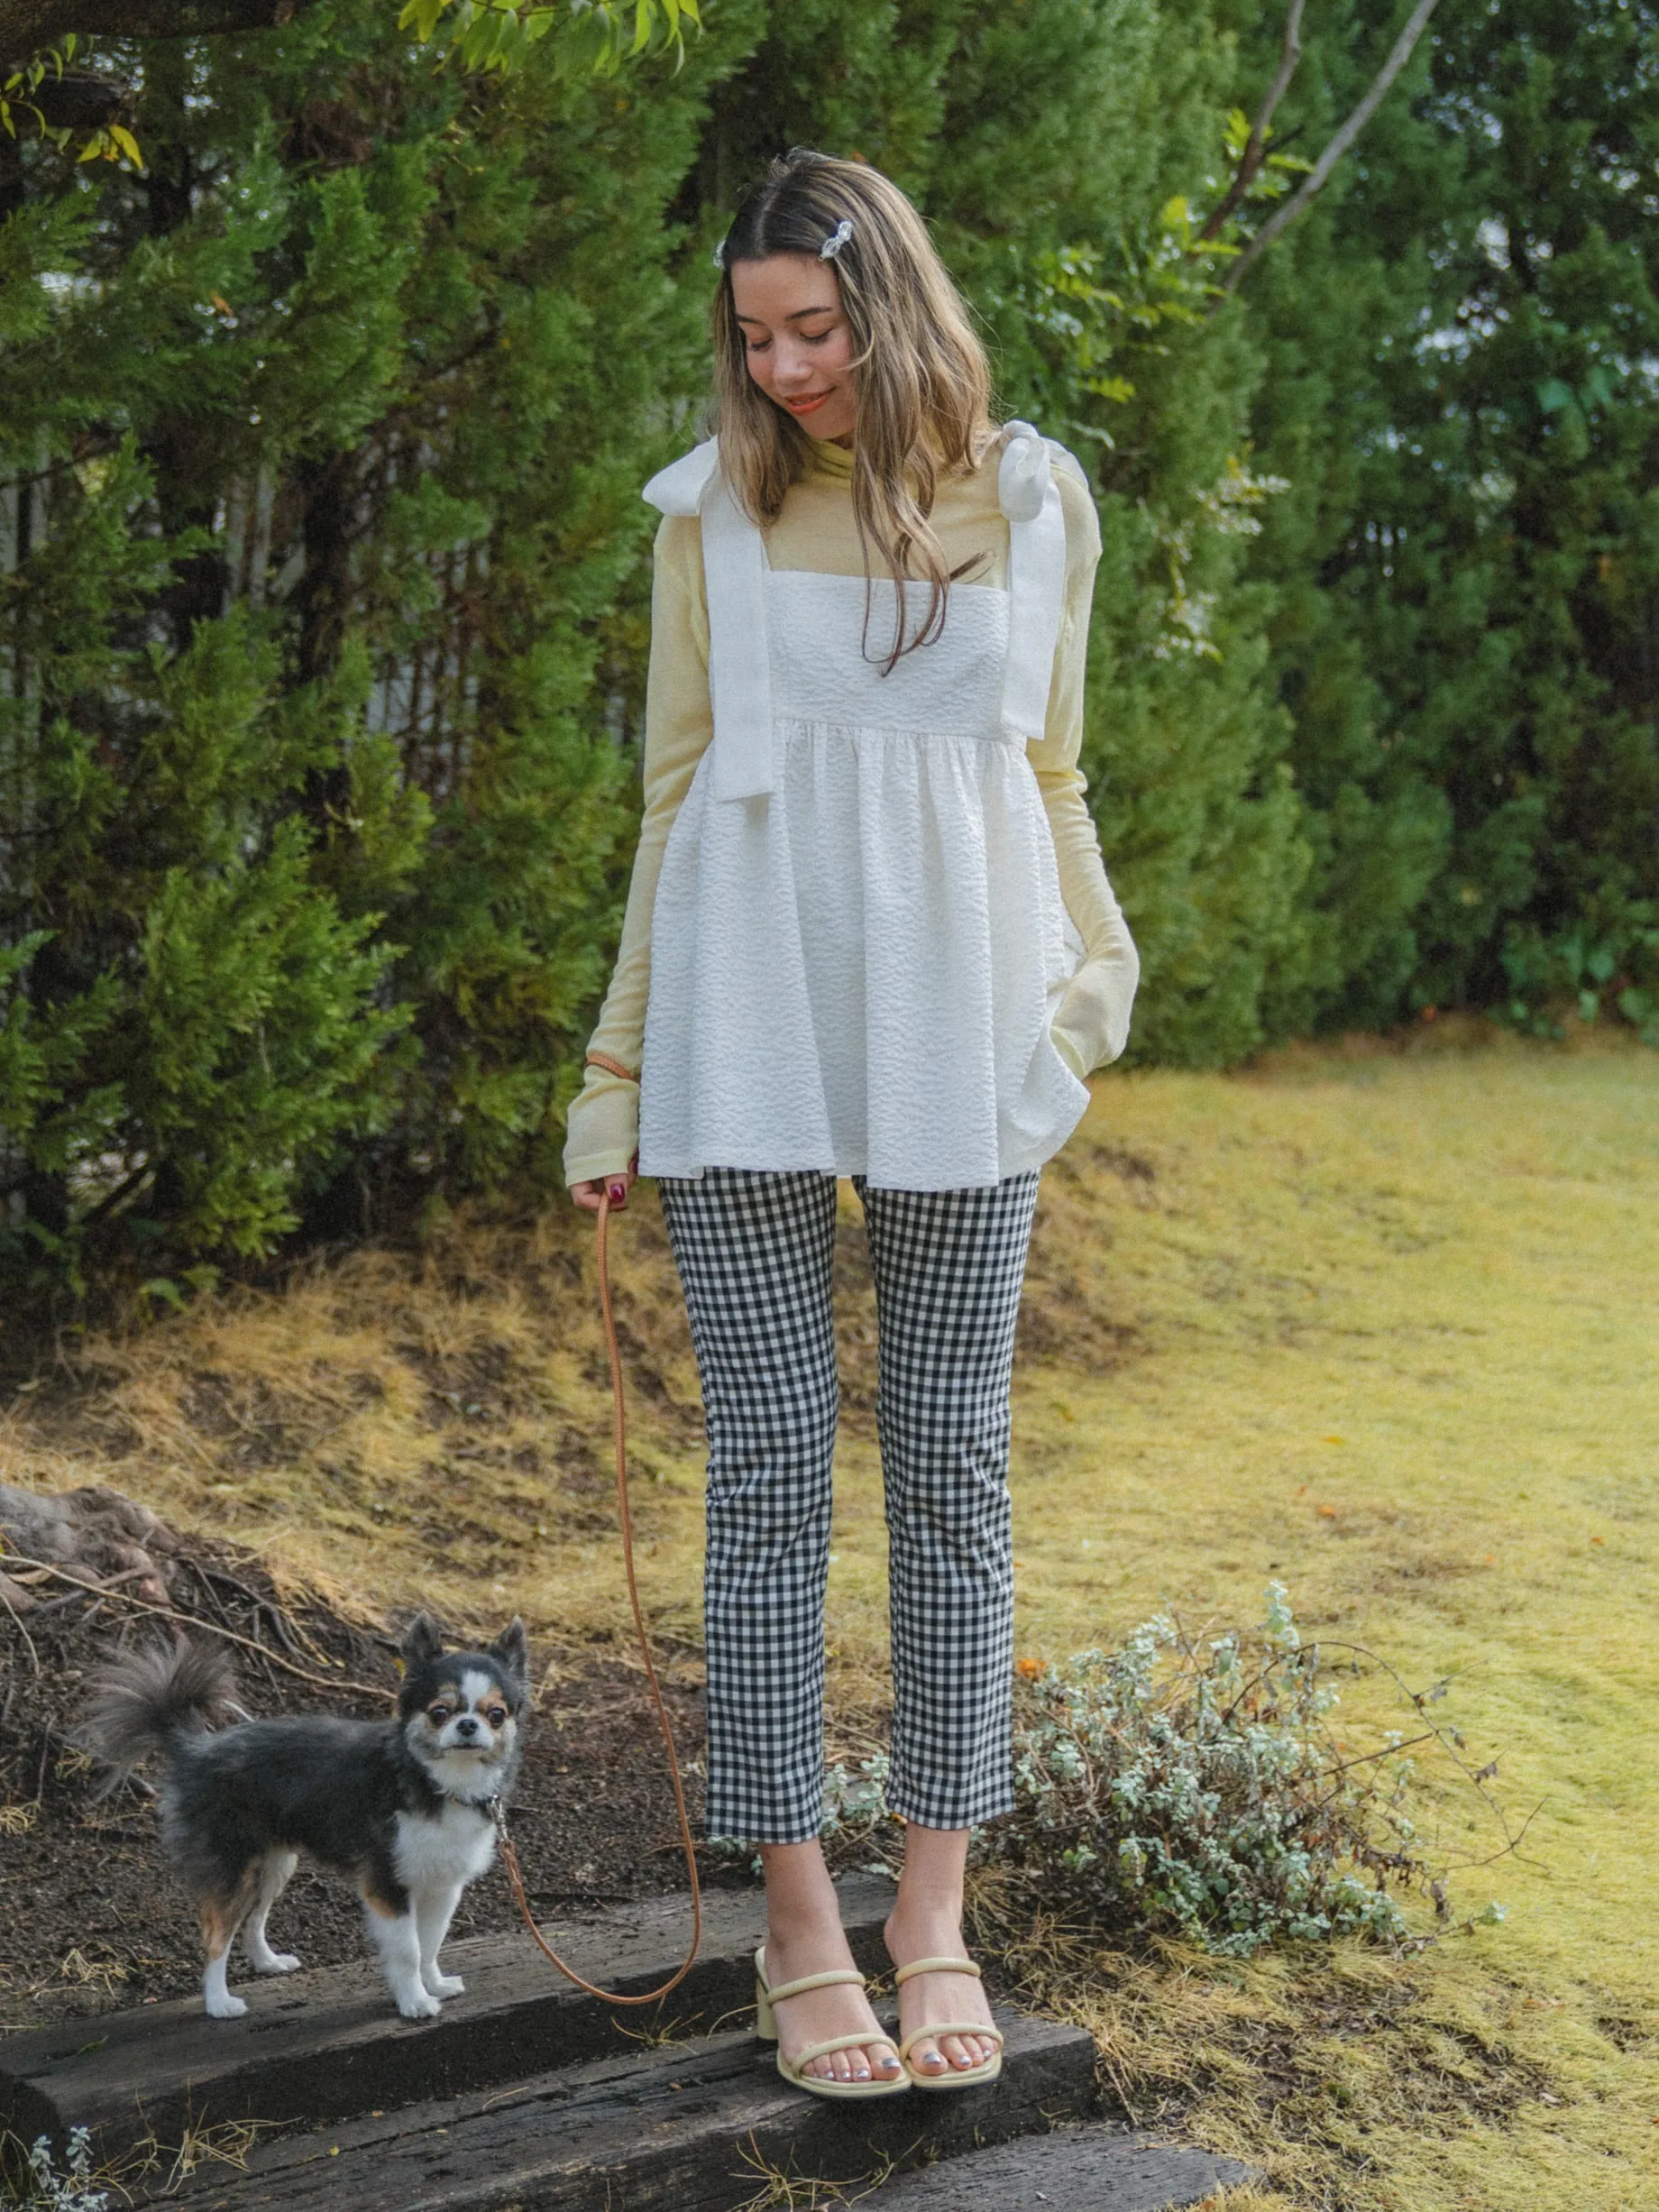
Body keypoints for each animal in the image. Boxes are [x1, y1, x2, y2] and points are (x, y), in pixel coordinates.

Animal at [86, 1619, 526, 2017]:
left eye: (497, 1715)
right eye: (439, 1712)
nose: (467, 1725)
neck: (435, 1780)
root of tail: (195, 1748)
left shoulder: (442, 1885)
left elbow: (431, 1942)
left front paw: (434, 1984)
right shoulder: (388, 1884)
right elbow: (408, 1950)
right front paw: (415, 2002)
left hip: (274, 1865)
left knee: (253, 1920)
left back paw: (267, 1962)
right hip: (233, 1870)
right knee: (216, 1937)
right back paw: (219, 2003)